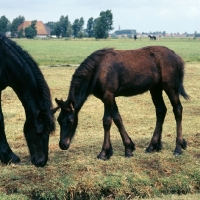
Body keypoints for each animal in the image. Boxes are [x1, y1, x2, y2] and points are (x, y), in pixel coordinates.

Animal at [54, 46, 188, 160]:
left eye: (70, 121)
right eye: (59, 120)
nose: (63, 144)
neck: (97, 69)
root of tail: (177, 57)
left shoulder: (108, 95)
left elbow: (107, 121)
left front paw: (104, 152)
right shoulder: (109, 98)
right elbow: (117, 119)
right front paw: (128, 148)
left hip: (170, 88)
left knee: (177, 109)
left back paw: (178, 147)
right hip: (155, 89)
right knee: (161, 110)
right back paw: (153, 146)